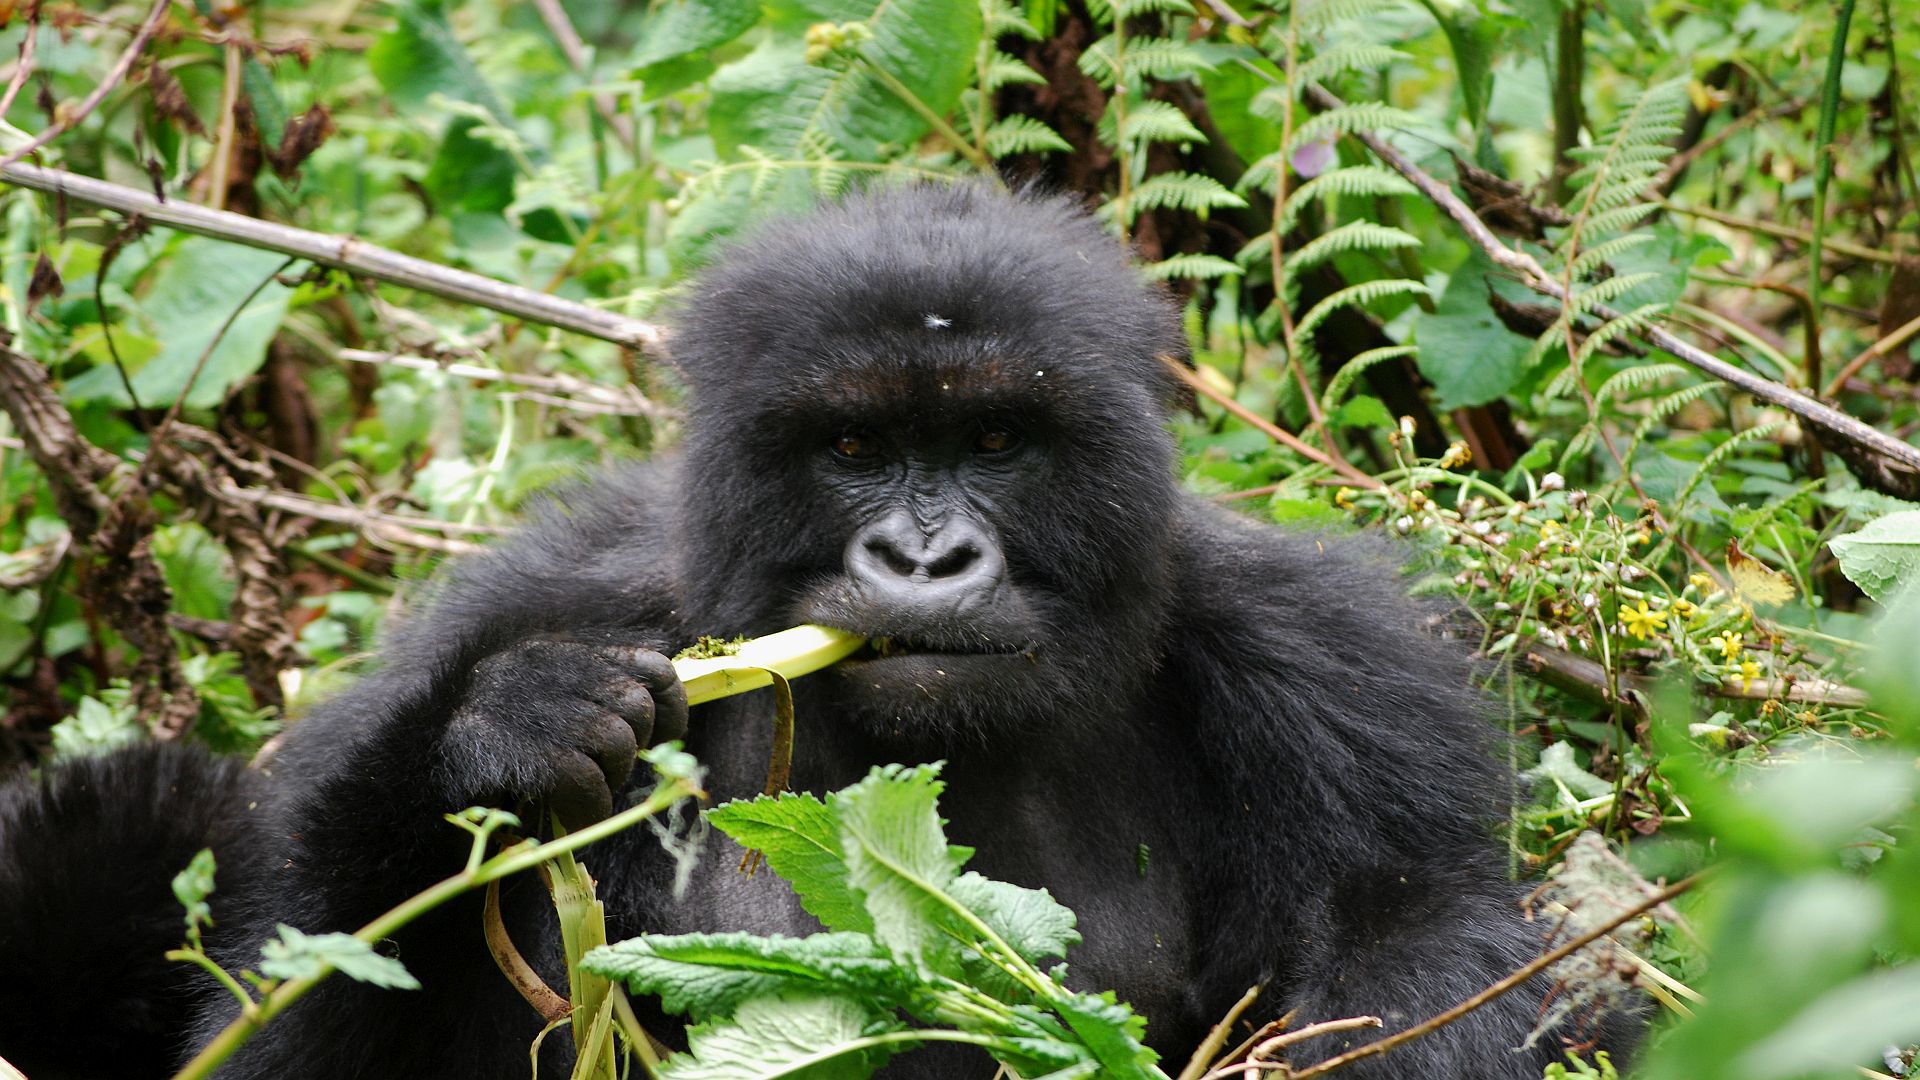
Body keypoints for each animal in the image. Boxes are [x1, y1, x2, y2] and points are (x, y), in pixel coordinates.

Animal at [0, 180, 1635, 1068]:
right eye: (853, 450)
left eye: (994, 442)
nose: (924, 554)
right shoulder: (543, 597)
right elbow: (304, 997)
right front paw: (508, 731)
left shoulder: (1329, 664)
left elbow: (1428, 957)